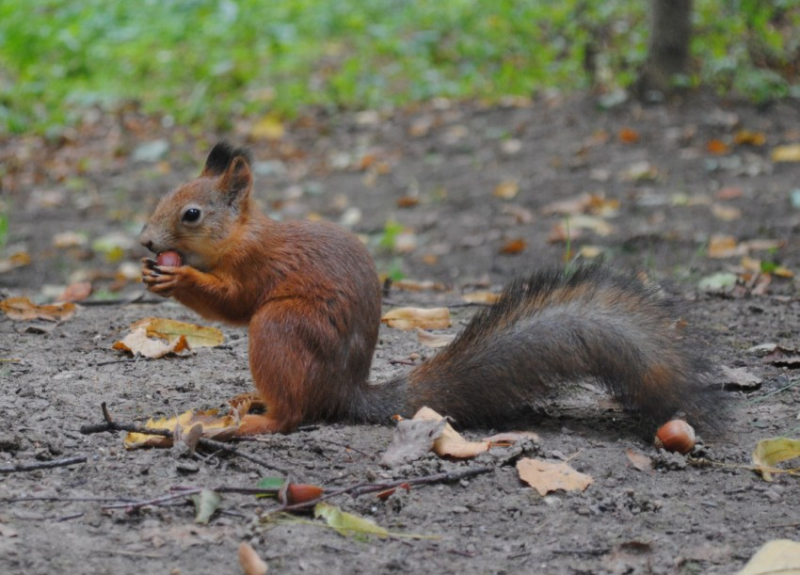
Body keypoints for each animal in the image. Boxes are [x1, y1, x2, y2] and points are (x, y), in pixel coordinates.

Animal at [139, 143, 720, 436]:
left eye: (191, 214)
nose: (144, 241)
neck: (241, 234)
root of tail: (345, 391)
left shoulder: (259, 266)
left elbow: (235, 303)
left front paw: (177, 276)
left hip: (281, 328)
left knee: (295, 414)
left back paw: (253, 422)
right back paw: (249, 400)